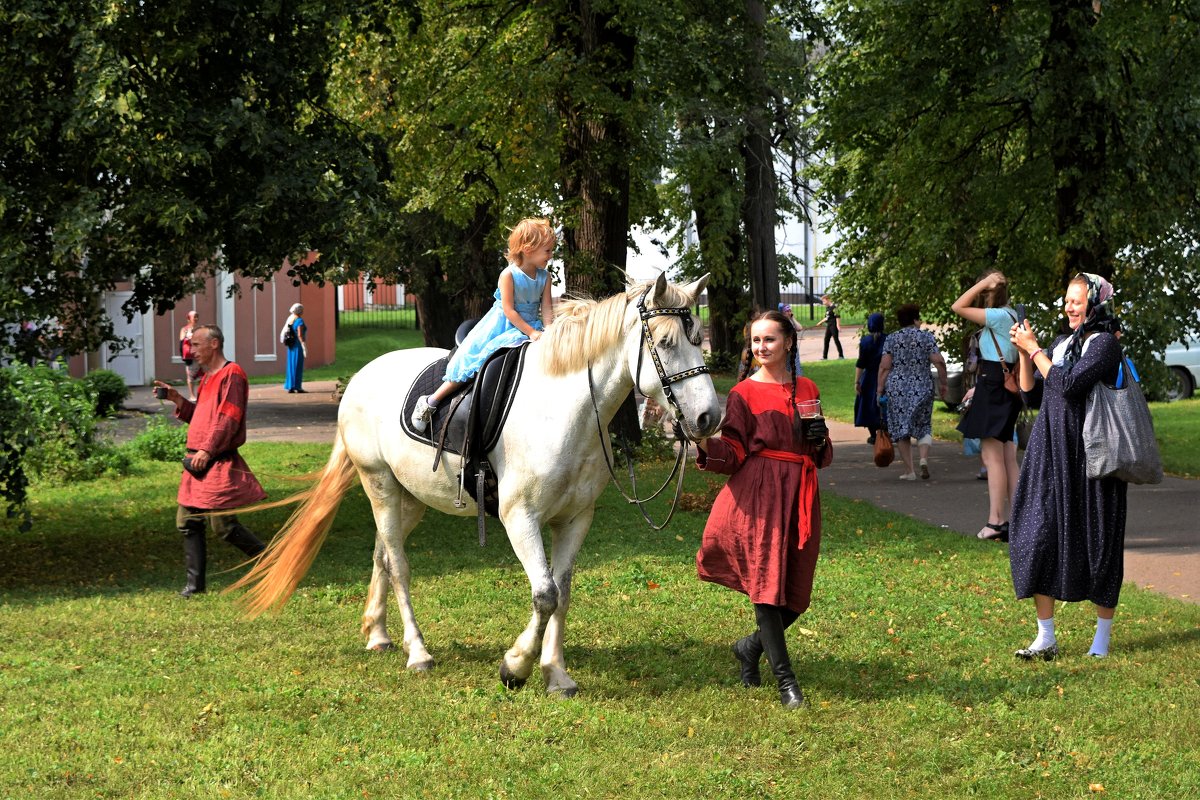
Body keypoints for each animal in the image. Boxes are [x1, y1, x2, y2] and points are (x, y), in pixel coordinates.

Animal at [234, 273, 720, 695]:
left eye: (699, 340)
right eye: (665, 343)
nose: (708, 418)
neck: (564, 410)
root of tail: (359, 379)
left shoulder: (575, 519)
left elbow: (562, 594)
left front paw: (556, 675)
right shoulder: (519, 517)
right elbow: (544, 594)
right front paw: (515, 667)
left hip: (407, 498)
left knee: (383, 556)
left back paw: (378, 634)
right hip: (380, 486)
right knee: (400, 566)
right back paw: (418, 652)